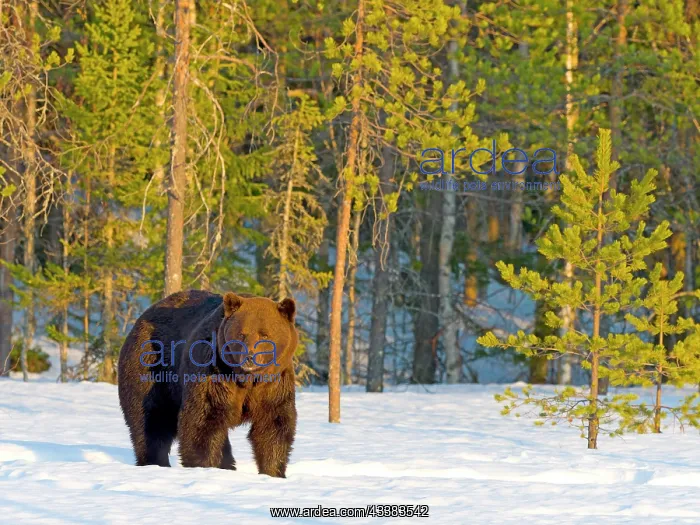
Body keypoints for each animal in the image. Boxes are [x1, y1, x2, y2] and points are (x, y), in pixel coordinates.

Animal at [117, 290, 297, 478]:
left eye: (264, 334)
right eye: (241, 334)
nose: (249, 357)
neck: (246, 379)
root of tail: (144, 315)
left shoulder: (273, 385)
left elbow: (273, 425)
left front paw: (273, 472)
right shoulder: (213, 372)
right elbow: (203, 421)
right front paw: (205, 466)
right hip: (152, 366)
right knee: (150, 420)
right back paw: (155, 462)